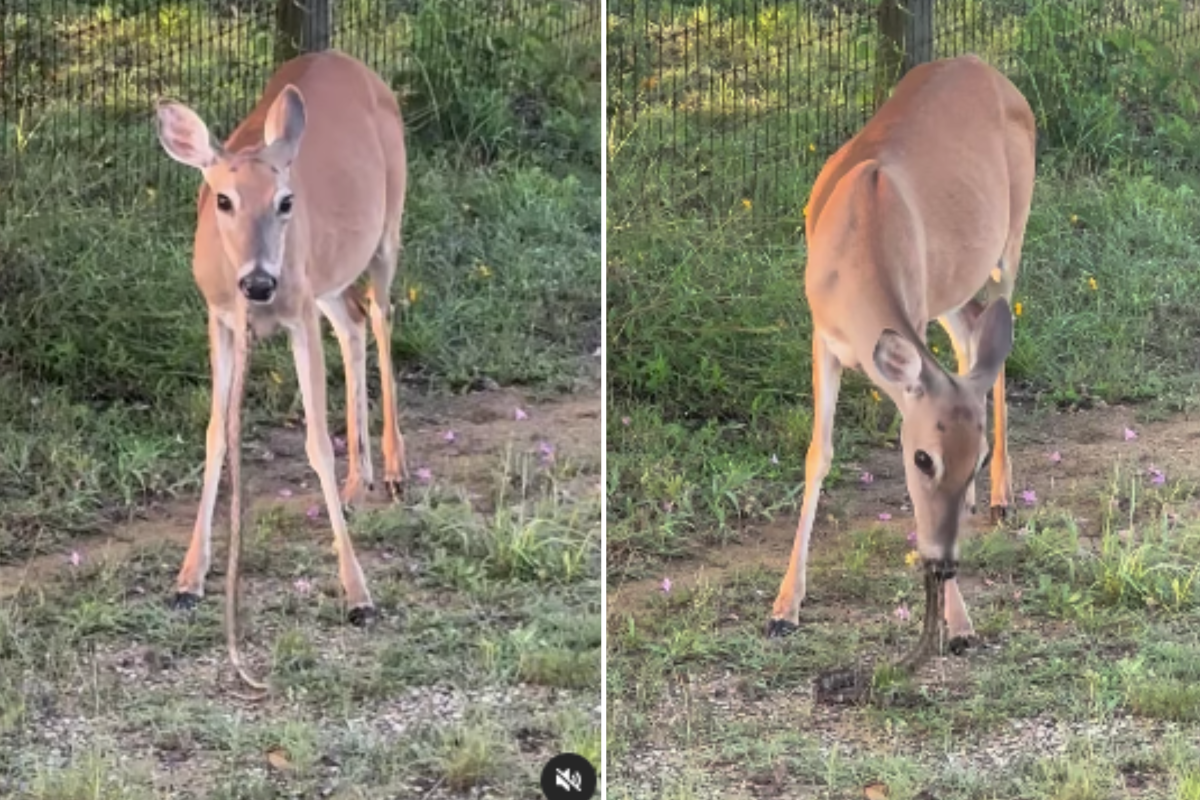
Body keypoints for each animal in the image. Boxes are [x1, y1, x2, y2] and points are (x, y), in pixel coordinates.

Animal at [154, 50, 410, 690]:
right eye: (222, 199)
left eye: (285, 202)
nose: (259, 281)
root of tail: (349, 61)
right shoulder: (220, 318)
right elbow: (215, 435)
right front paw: (188, 580)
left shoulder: (296, 313)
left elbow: (316, 440)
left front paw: (359, 595)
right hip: (329, 277)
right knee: (353, 321)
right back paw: (357, 483)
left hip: (387, 224)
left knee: (382, 313)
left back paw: (395, 470)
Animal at [768, 54, 1041, 695]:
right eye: (923, 459)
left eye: (973, 457)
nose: (944, 562)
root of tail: (987, 68)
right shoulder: (823, 336)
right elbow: (819, 453)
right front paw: (784, 608)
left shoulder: (908, 315)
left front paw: (960, 624)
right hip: (952, 284)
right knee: (973, 338)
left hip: (1010, 235)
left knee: (996, 332)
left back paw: (1001, 497)